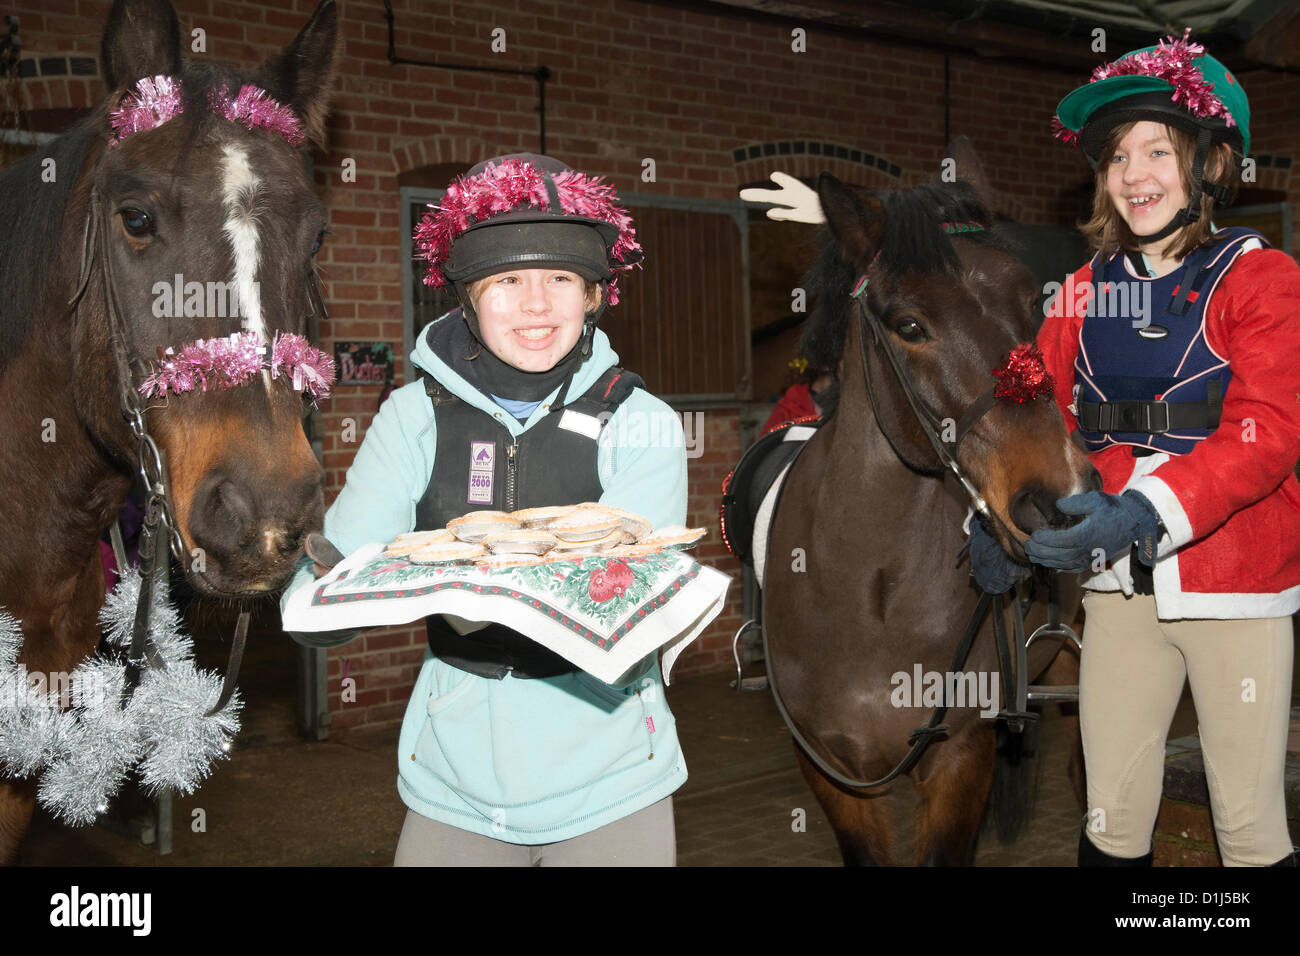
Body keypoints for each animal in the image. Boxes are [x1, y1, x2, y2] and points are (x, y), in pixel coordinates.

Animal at [764, 171, 1102, 868]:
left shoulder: (958, 759)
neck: (868, 594)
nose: (1059, 498)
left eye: (1032, 306)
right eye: (909, 324)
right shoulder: (832, 772)